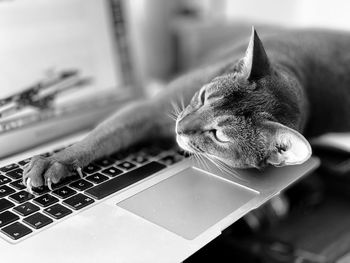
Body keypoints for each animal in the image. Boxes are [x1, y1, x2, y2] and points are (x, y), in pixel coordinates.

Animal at [22, 26, 350, 192]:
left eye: (220, 135)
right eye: (204, 96)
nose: (180, 128)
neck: (299, 78)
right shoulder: (147, 109)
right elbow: (95, 139)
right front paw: (55, 160)